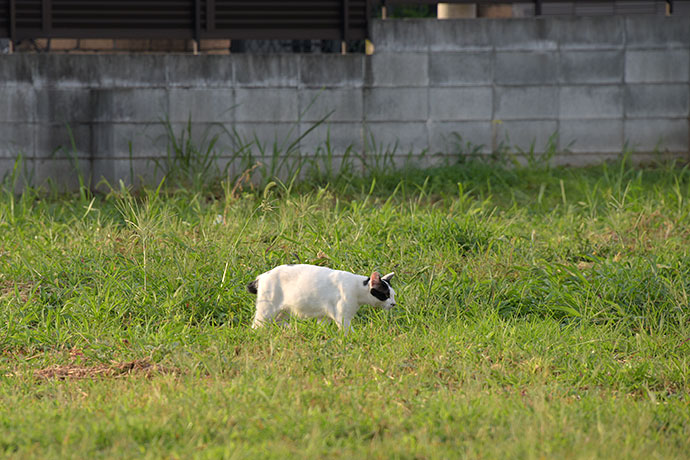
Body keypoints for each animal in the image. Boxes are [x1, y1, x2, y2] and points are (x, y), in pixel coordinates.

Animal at [246, 264, 396, 332]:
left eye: (393, 296)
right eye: (386, 295)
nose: (394, 304)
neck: (357, 288)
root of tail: (262, 276)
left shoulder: (324, 317)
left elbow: (321, 327)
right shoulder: (342, 317)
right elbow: (348, 331)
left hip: (282, 312)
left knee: (277, 322)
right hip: (266, 311)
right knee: (256, 326)